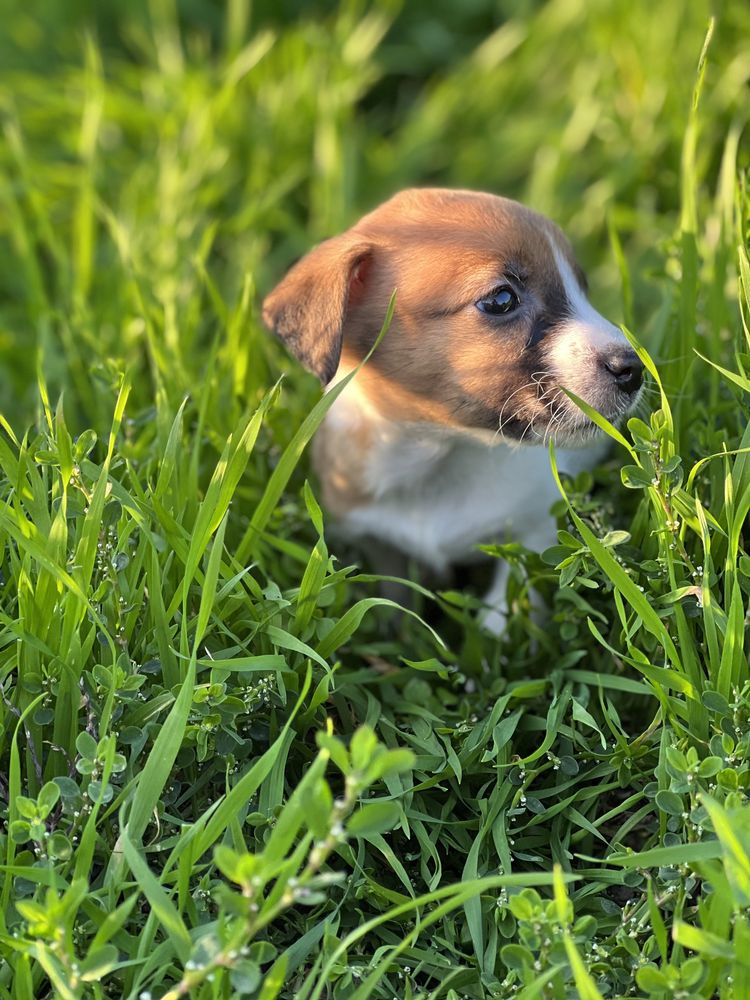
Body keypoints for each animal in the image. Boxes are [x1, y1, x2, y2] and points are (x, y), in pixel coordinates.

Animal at [262, 190, 644, 628]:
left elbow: (507, 610)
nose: (634, 369)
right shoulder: (375, 539)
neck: (435, 457)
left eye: (581, 288)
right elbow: (393, 594)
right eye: (501, 299)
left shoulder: (534, 528)